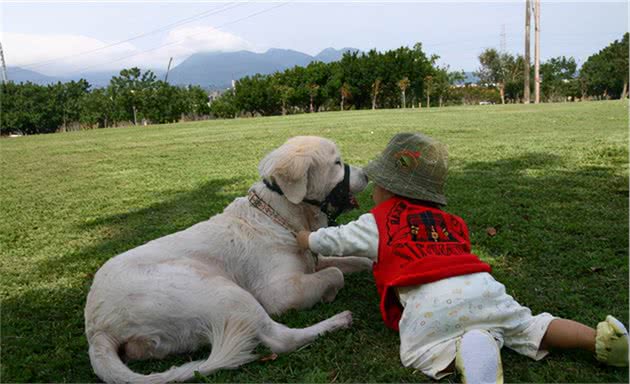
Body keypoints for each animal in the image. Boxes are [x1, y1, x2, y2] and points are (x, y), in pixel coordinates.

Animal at [86, 136, 372, 382]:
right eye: (337, 163)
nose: (368, 175)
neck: (277, 215)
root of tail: (96, 329)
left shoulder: (313, 259)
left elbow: (354, 260)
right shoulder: (278, 293)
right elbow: (335, 273)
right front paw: (330, 294)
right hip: (222, 291)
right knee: (280, 339)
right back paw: (338, 320)